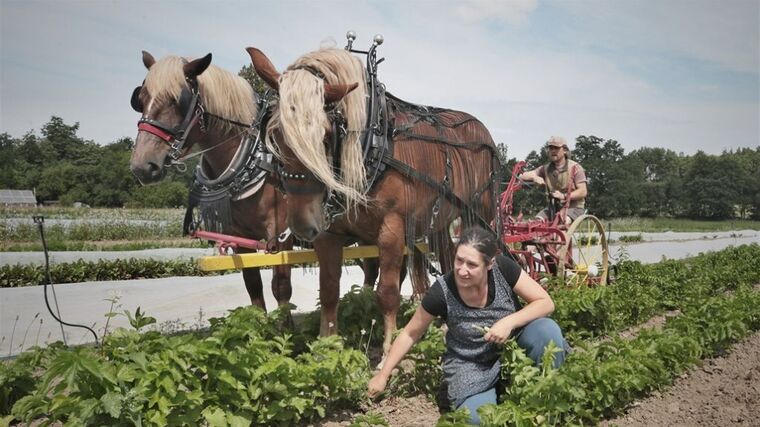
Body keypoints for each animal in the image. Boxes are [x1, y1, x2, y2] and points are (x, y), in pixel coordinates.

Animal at [127, 52, 294, 314]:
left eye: (177, 101)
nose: (142, 166)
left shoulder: (281, 236)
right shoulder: (240, 236)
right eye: (140, 99)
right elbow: (253, 287)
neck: (257, 159)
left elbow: (282, 289)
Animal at [246, 46, 502, 354]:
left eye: (326, 136)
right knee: (450, 258)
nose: (303, 225)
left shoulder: (392, 229)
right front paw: (326, 345)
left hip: (481, 213)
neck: (374, 145)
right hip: (441, 220)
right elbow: (329, 290)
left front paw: (390, 349)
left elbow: (387, 292)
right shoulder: (329, 234)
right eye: (274, 134)